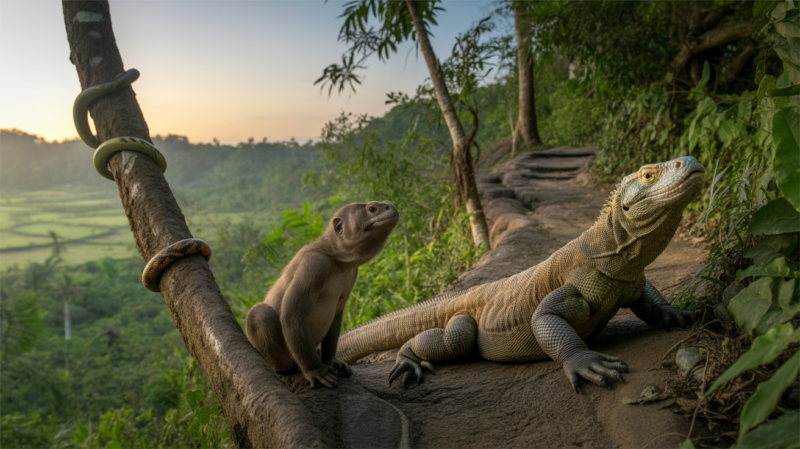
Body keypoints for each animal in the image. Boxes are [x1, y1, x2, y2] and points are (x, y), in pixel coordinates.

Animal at [246, 201, 399, 388]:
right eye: (372, 208)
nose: (392, 207)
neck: (336, 259)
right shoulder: (313, 265)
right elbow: (292, 316)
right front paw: (315, 370)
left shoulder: (351, 273)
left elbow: (336, 315)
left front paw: (330, 360)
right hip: (278, 358)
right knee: (260, 313)